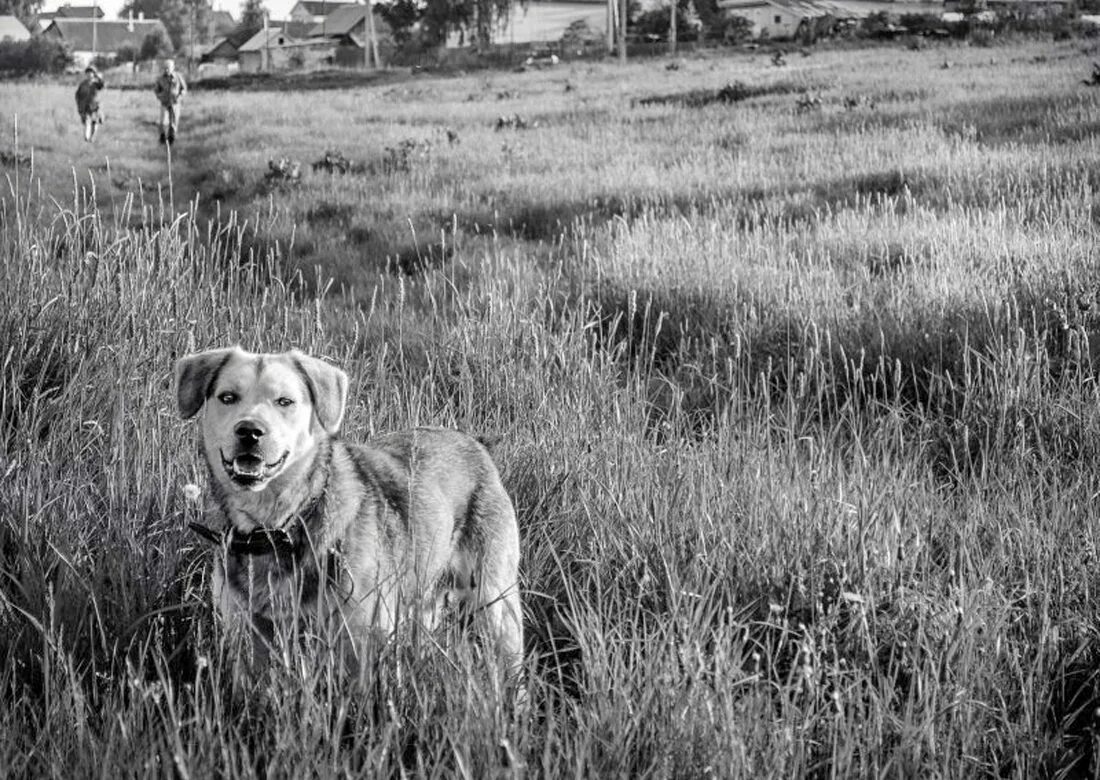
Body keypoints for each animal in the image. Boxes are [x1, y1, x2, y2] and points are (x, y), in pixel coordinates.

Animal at [174, 347, 523, 673]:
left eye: (285, 401)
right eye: (227, 397)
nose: (249, 431)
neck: (278, 526)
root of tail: (475, 443)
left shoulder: (360, 643)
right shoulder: (248, 640)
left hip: (496, 603)